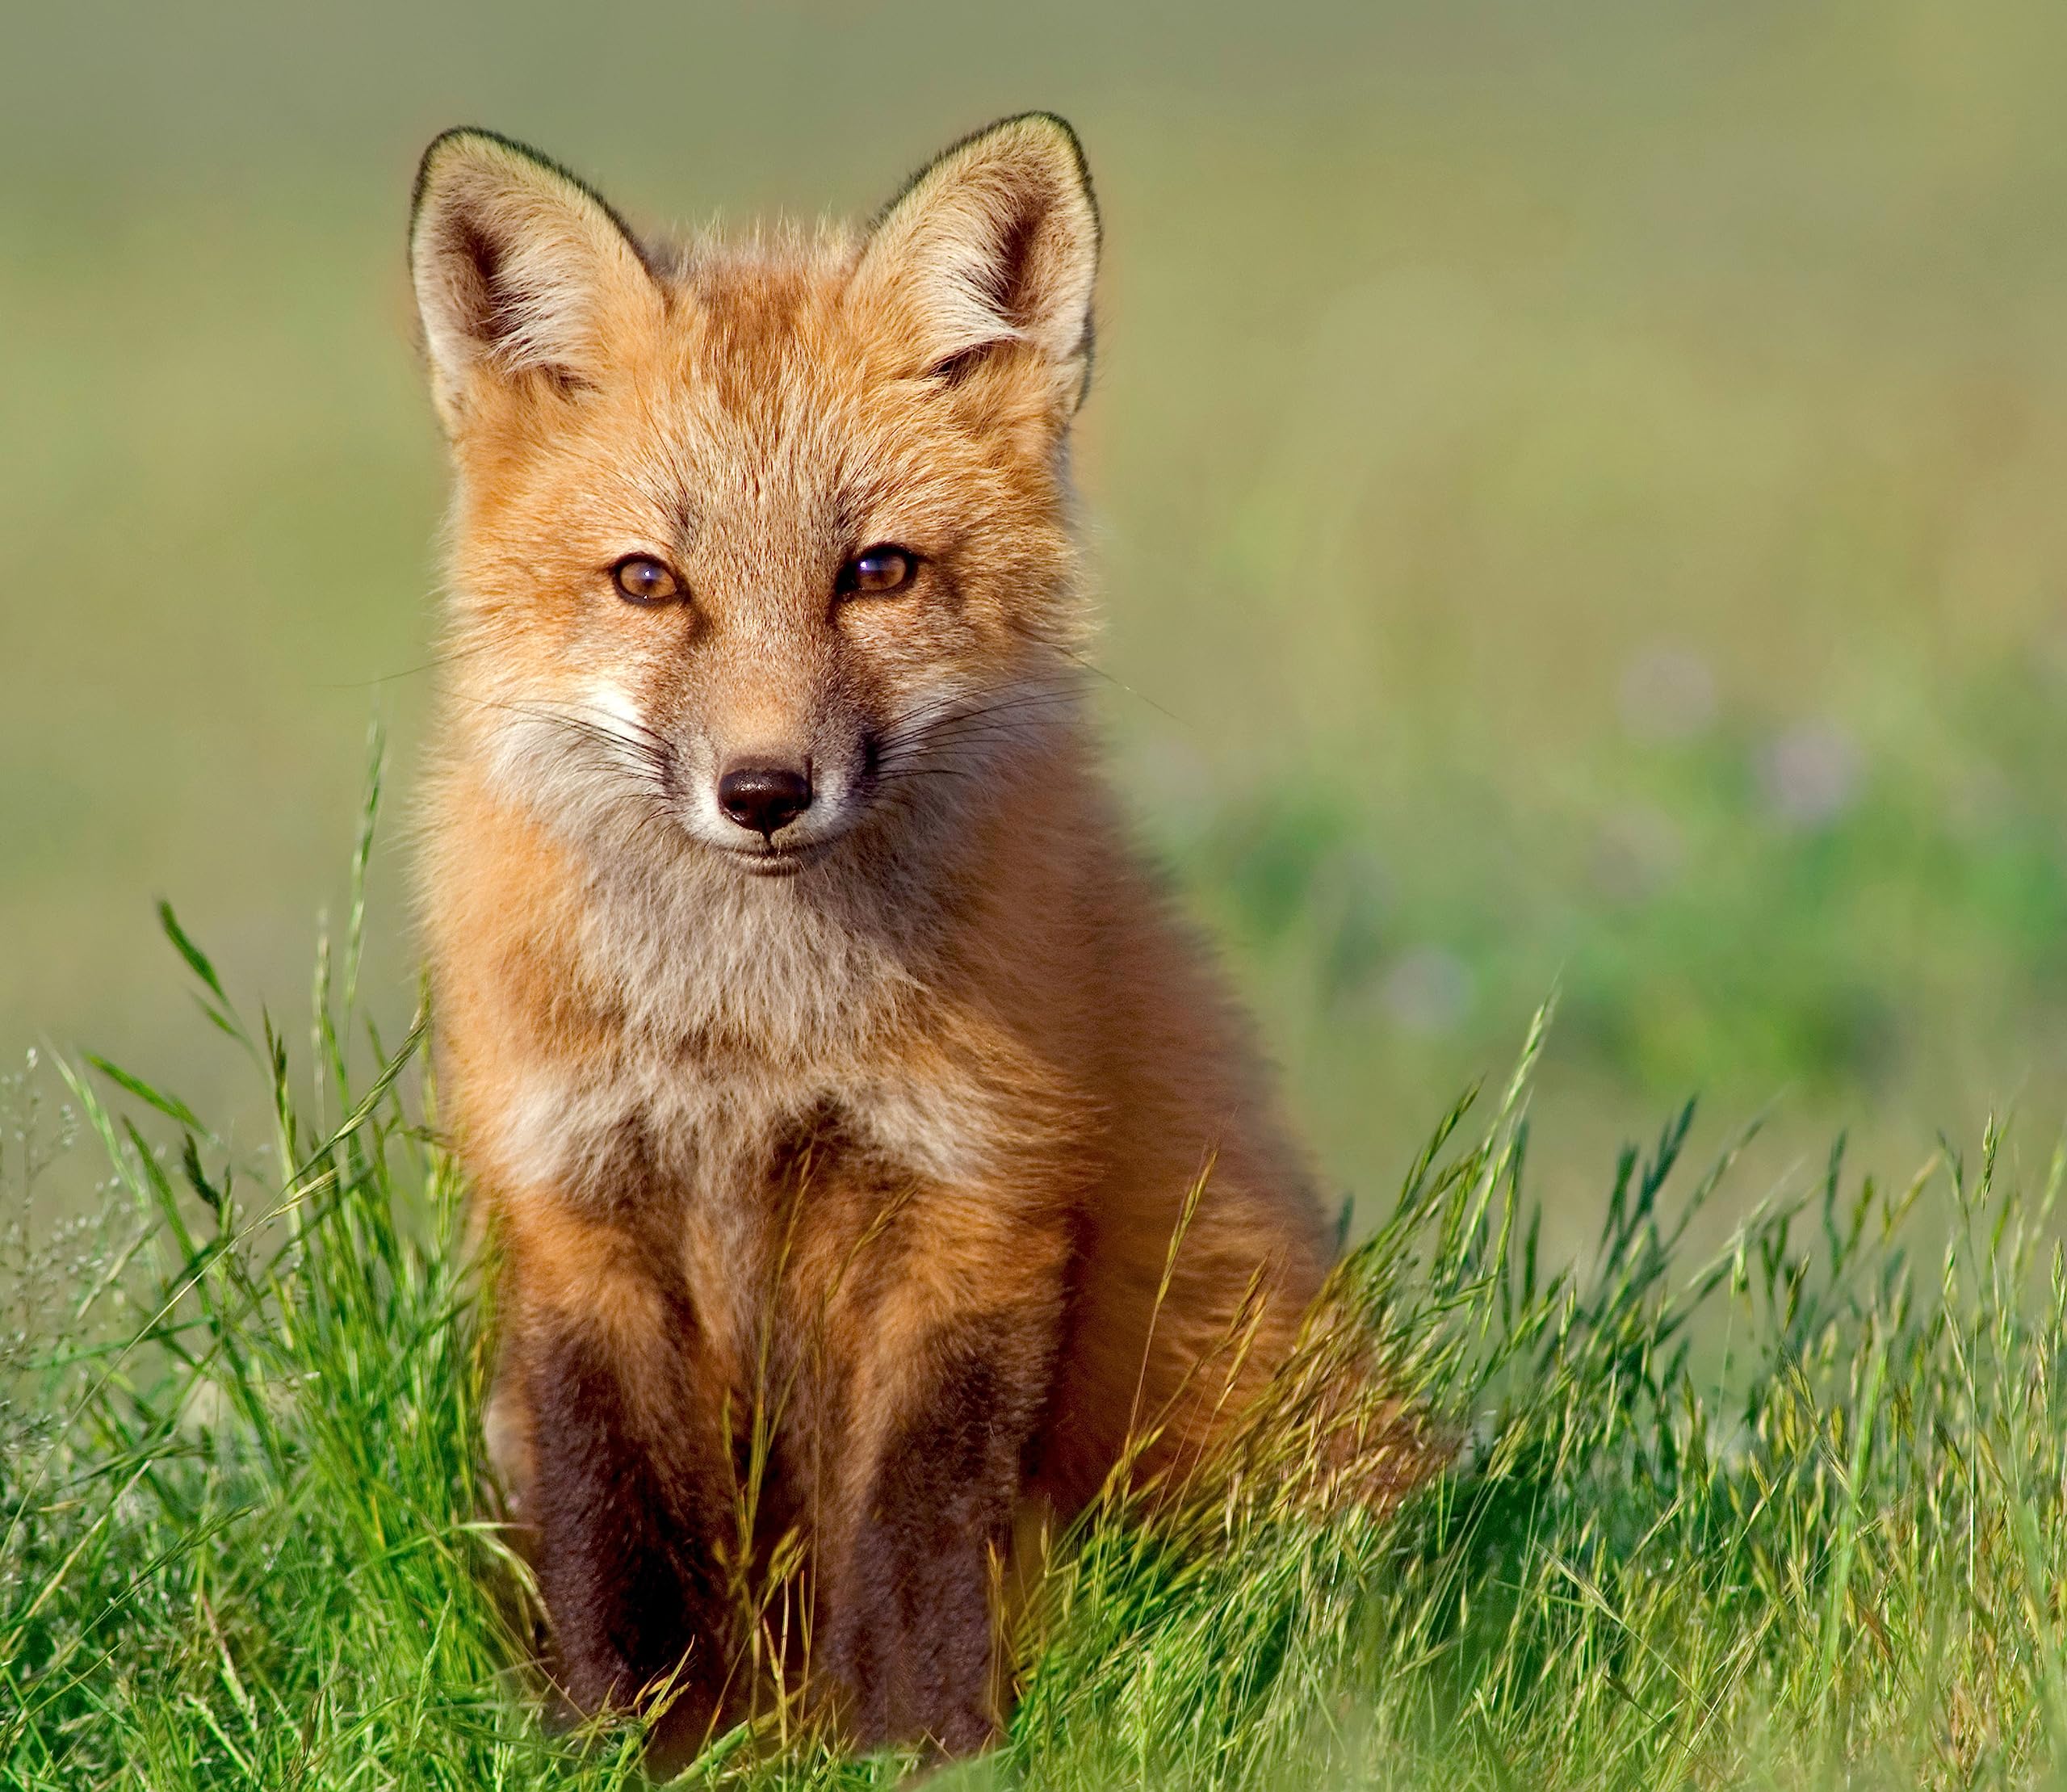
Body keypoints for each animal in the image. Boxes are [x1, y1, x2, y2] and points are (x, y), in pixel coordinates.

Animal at [408, 114, 1404, 1760]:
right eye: (647, 581)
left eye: (874, 571)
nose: (763, 789)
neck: (749, 1037)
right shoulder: (575, 1207)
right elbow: (614, 1531)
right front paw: (625, 1743)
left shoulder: (976, 1195)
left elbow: (915, 1529)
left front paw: (920, 1749)